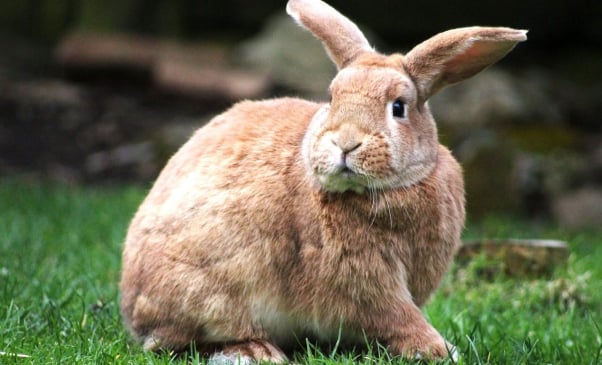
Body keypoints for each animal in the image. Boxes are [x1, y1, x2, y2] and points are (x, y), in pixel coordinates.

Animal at [119, 0, 524, 360]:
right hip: (215, 292)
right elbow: (396, 315)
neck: (382, 191)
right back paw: (255, 351)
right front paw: (439, 349)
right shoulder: (364, 280)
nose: (345, 142)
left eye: (398, 107)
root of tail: (132, 305)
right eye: (332, 98)